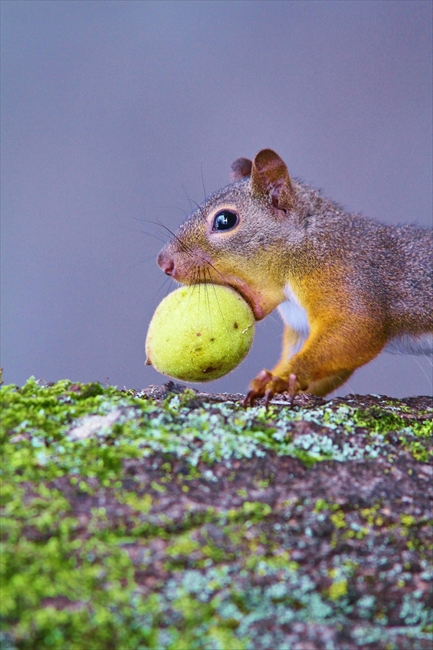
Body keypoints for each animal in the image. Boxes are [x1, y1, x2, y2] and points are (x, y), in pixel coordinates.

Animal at [156, 149, 432, 402]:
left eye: (225, 220)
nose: (164, 262)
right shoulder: (302, 327)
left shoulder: (347, 278)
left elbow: (356, 331)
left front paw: (278, 378)